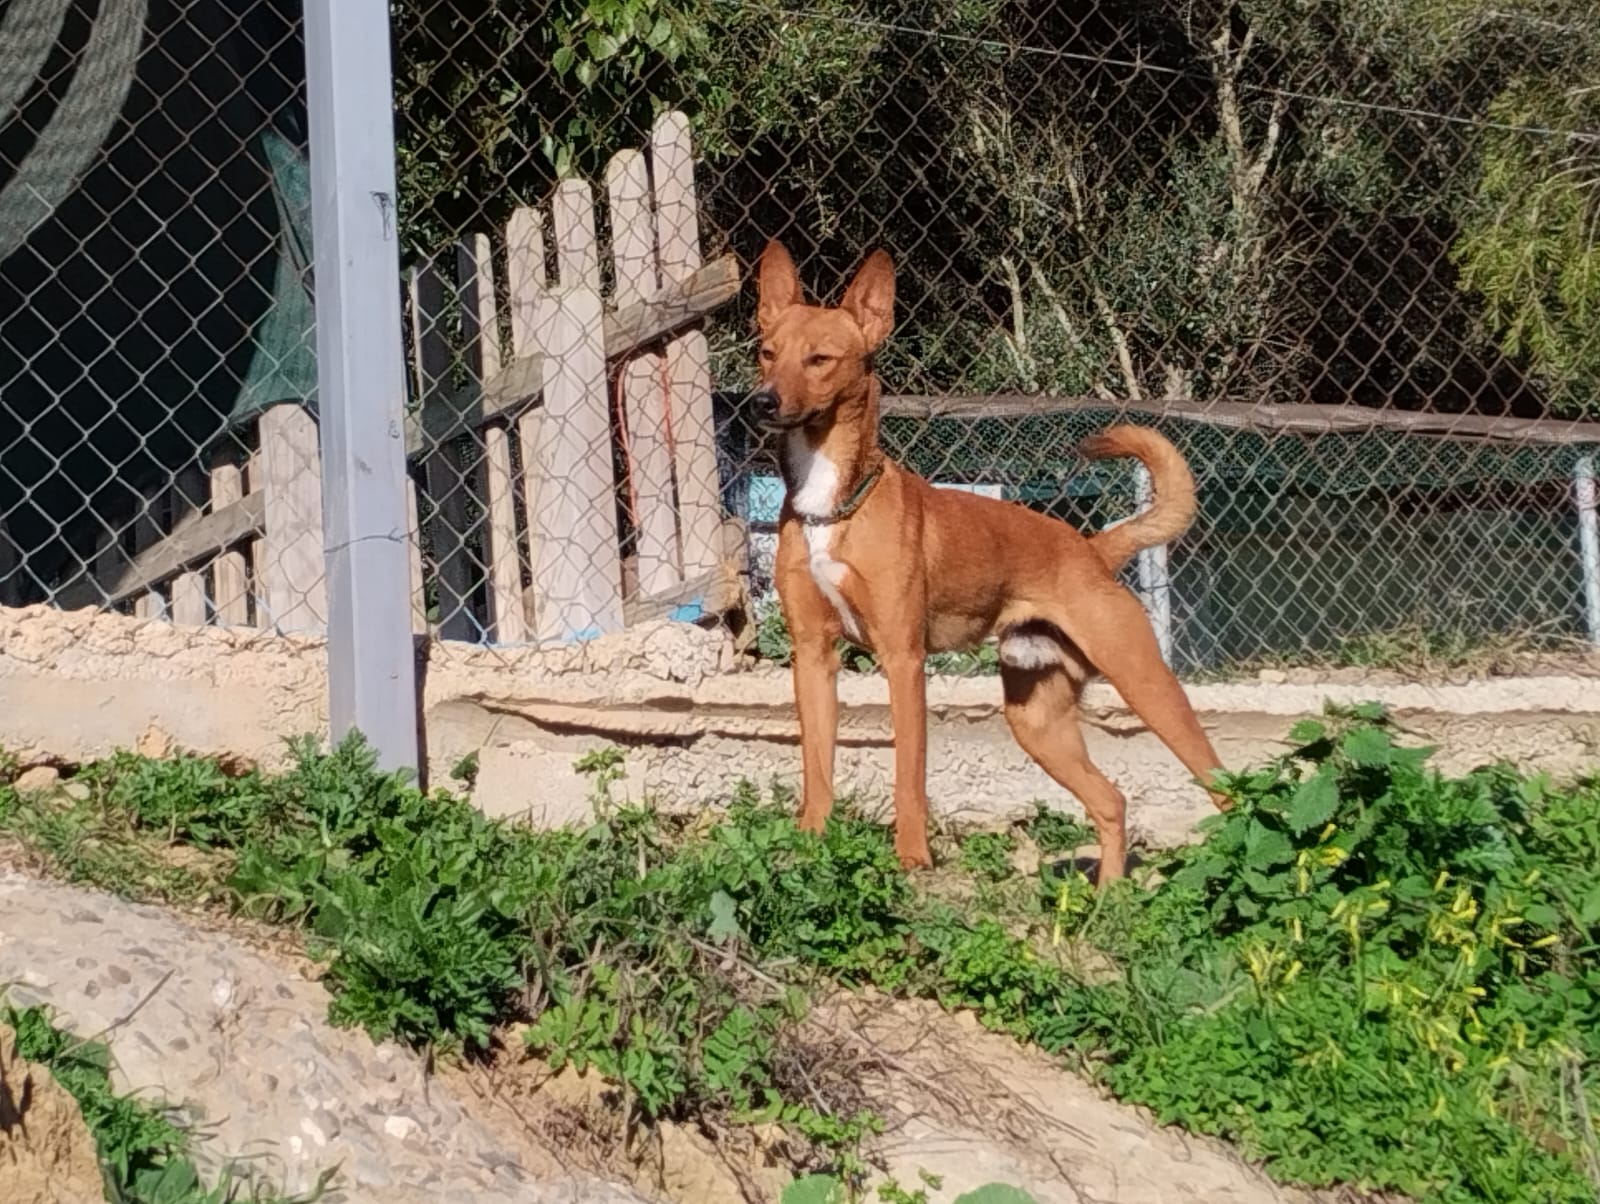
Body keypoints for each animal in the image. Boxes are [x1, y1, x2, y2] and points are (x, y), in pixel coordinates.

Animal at [751, 239, 1228, 882]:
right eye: (767, 352)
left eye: (820, 358)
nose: (763, 401)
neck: (831, 508)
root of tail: (1091, 548)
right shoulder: (812, 657)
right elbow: (817, 770)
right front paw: (809, 846)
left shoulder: (903, 661)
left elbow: (910, 776)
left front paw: (913, 859)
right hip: (1037, 721)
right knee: (1111, 800)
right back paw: (1109, 895)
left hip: (1147, 684)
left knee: (1228, 787)